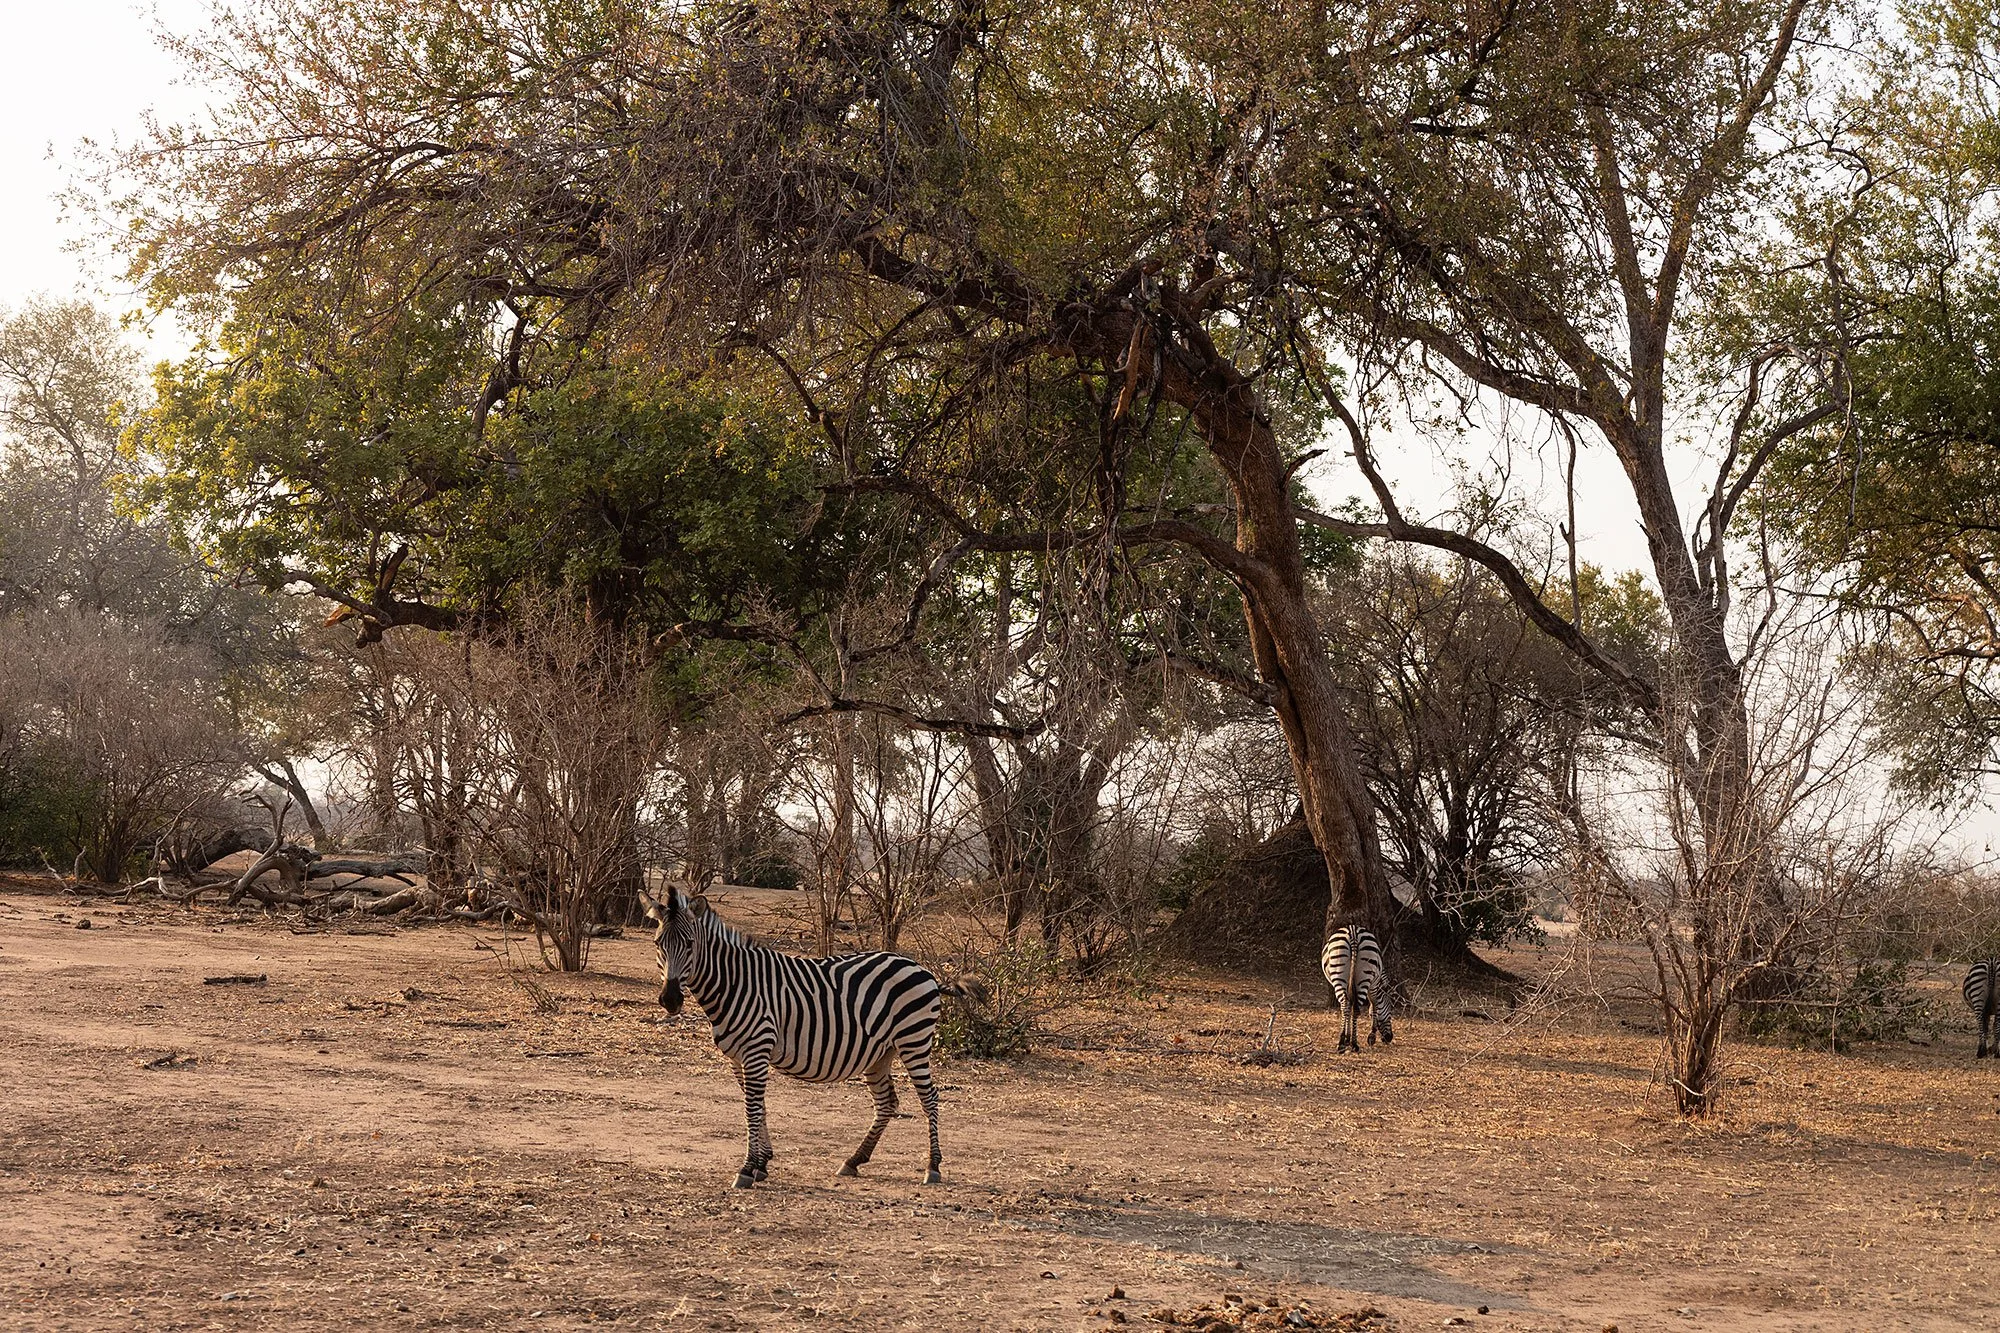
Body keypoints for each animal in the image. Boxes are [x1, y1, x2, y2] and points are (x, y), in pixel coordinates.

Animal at [646, 886, 958, 1188]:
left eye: (690, 944)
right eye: (658, 944)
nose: (670, 1000)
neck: (733, 983)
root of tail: (921, 968)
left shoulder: (757, 1049)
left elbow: (752, 1108)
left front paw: (747, 1168)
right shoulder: (737, 1056)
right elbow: (757, 1105)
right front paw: (762, 1163)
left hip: (914, 1041)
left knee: (929, 1098)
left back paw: (932, 1167)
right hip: (881, 1053)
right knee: (886, 1103)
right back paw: (854, 1160)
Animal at [1321, 924, 1392, 1054]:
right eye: (1390, 1012)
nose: (1389, 1038)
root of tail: (1353, 932)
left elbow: (1350, 1006)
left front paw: (1347, 1038)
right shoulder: (1373, 986)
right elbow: (1374, 1006)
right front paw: (1371, 1037)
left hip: (1341, 977)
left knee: (1345, 1006)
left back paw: (1344, 1043)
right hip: (1362, 978)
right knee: (1354, 1009)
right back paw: (1353, 1044)